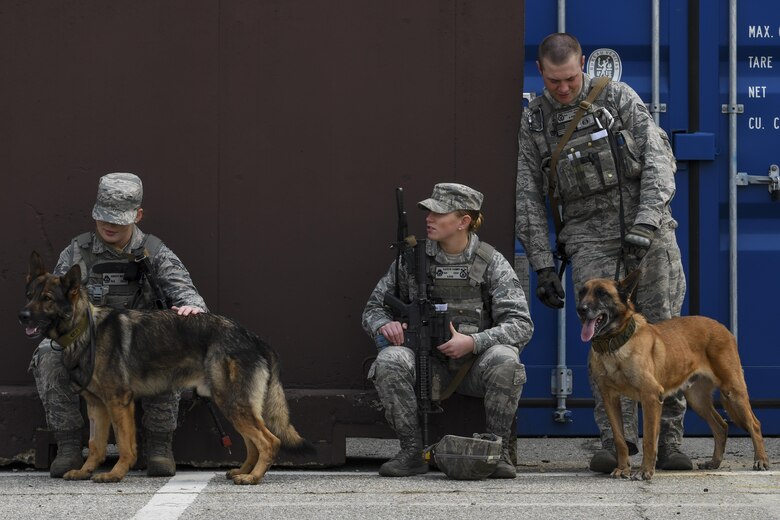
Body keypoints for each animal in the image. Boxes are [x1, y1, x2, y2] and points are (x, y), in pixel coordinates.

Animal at [19, 251, 310, 484]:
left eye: (47, 298)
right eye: (30, 295)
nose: (22, 316)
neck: (83, 329)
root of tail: (251, 336)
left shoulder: (118, 403)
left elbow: (124, 445)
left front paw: (115, 474)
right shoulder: (97, 406)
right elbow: (95, 445)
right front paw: (85, 471)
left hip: (232, 402)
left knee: (270, 441)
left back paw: (253, 477)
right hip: (233, 404)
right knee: (253, 442)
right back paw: (243, 470)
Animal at [580, 270, 768, 482]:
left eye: (602, 293)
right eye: (581, 293)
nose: (581, 309)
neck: (613, 345)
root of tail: (722, 327)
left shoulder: (651, 397)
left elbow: (649, 440)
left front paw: (645, 471)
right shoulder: (609, 399)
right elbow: (620, 439)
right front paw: (623, 468)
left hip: (733, 390)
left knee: (754, 424)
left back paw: (761, 460)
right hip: (697, 400)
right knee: (721, 426)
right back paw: (714, 462)